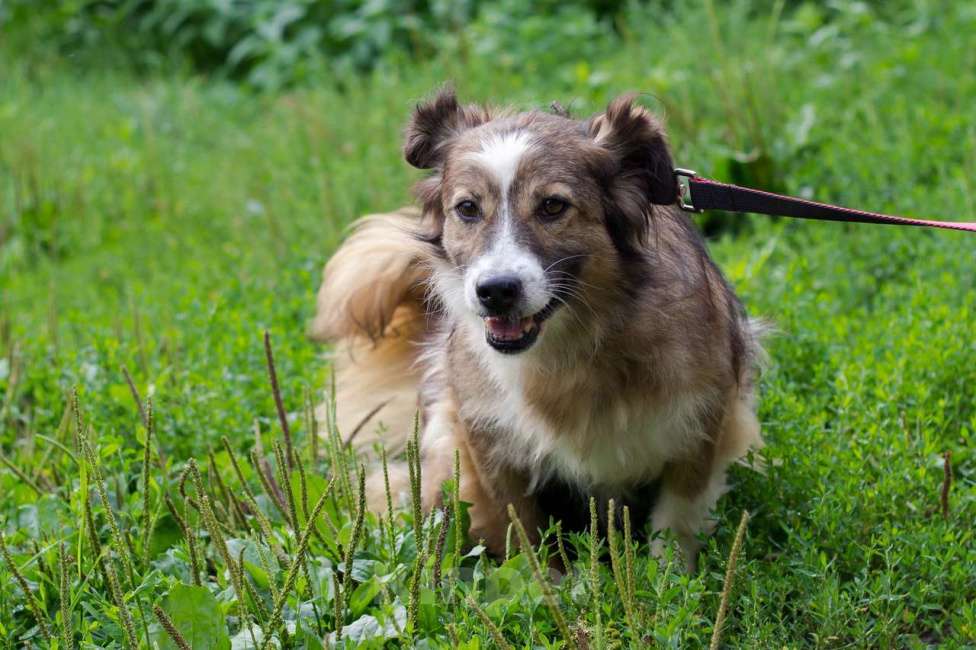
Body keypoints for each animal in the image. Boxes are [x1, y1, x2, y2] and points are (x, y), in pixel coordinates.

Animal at [308, 87, 768, 568]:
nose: (495, 291)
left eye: (552, 206)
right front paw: (546, 579)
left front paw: (670, 579)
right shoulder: (485, 438)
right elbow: (521, 528)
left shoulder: (700, 424)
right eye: (467, 208)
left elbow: (676, 519)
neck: (573, 344)